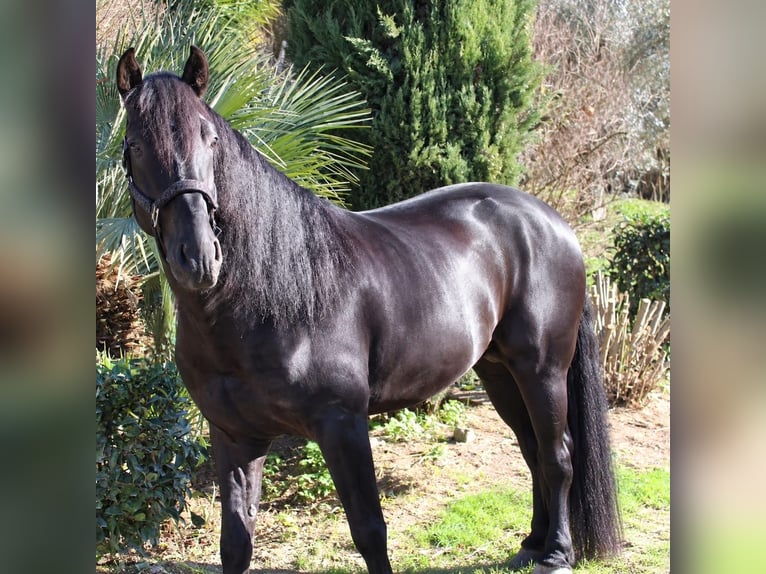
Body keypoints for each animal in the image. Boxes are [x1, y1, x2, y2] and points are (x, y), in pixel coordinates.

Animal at [115, 46, 621, 574]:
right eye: (134, 145)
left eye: (210, 139)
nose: (198, 257)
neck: (266, 301)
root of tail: (552, 222)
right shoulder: (235, 436)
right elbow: (235, 543)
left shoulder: (344, 426)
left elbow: (370, 532)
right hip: (499, 370)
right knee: (531, 450)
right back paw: (532, 543)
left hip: (542, 369)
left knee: (557, 455)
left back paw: (557, 553)